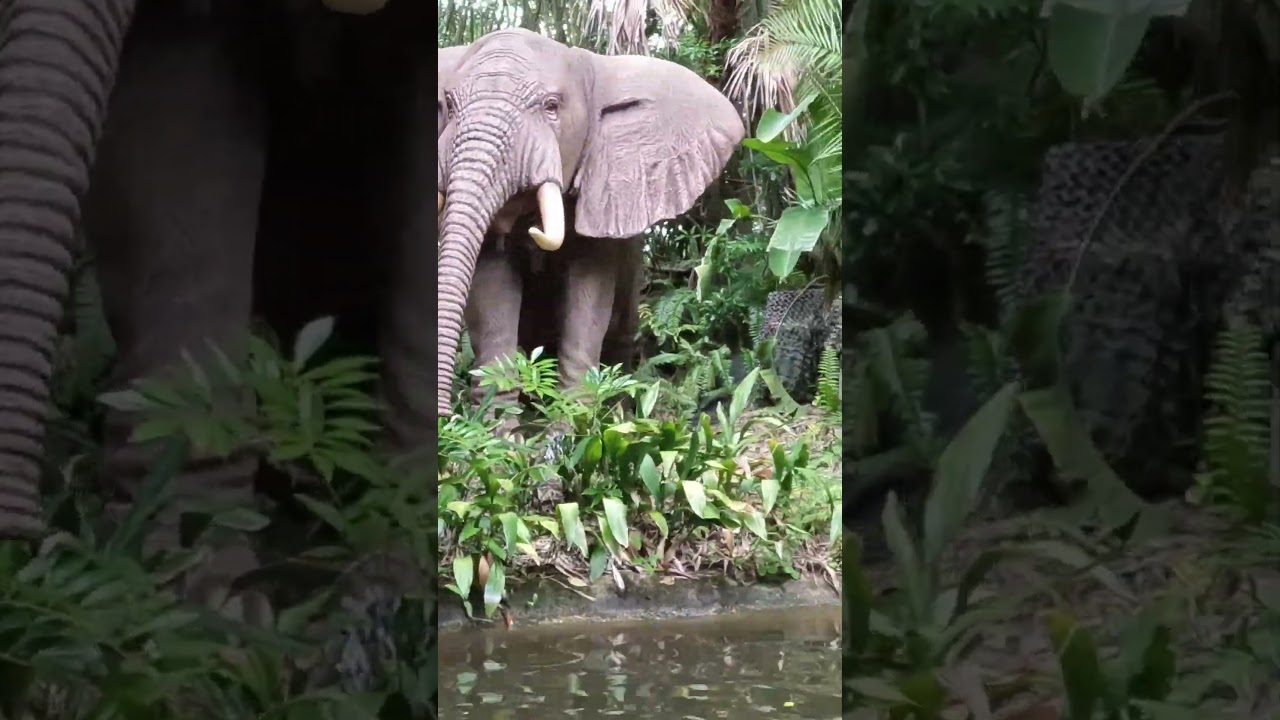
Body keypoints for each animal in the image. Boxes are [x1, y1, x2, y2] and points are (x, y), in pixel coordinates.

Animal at [436, 29, 746, 420]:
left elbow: (588, 293)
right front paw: (499, 429)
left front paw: (570, 425)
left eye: (552, 106)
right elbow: (492, 290)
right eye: (448, 104)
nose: (442, 415)